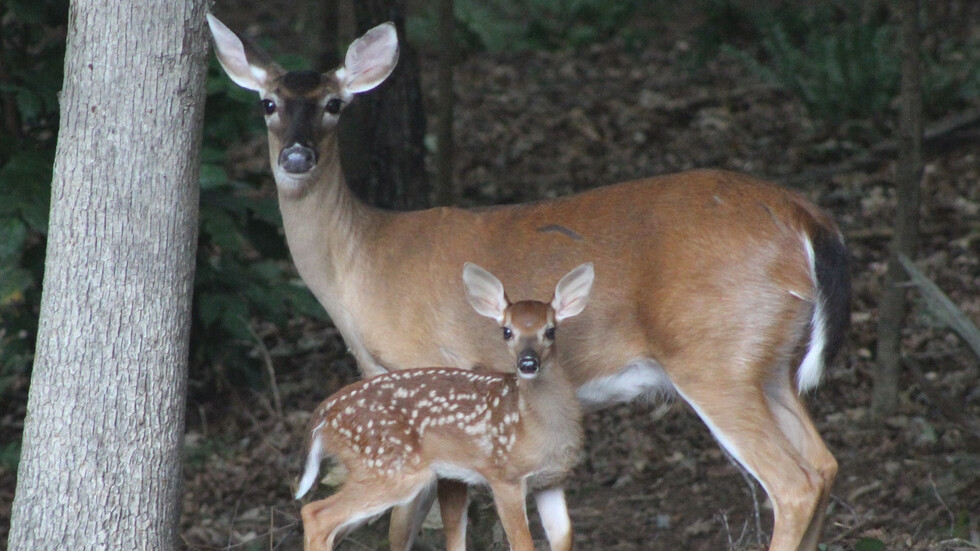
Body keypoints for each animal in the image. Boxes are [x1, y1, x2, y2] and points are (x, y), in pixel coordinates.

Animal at [294, 264, 592, 551]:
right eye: (507, 331)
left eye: (550, 330)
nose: (527, 363)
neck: (534, 424)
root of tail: (324, 413)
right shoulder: (504, 475)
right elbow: (522, 544)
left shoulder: (552, 481)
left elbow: (564, 539)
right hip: (387, 468)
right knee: (315, 513)